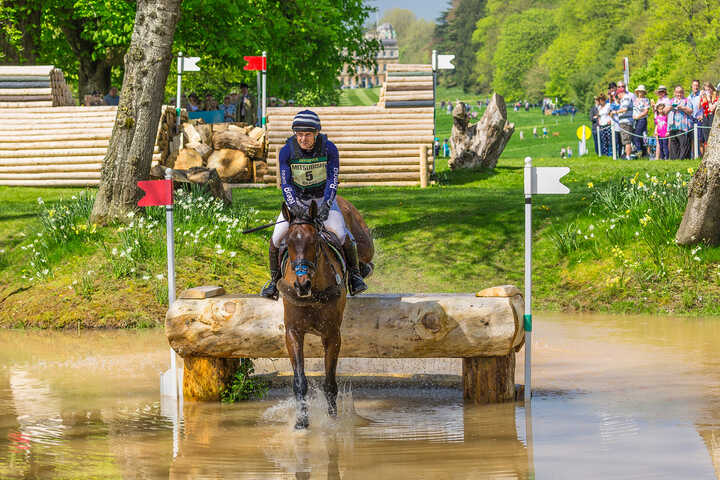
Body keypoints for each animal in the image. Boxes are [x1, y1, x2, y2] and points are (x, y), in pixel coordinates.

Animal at [276, 197, 374, 430]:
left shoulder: (332, 335)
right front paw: (301, 422)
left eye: (314, 242)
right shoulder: (293, 332)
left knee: (362, 253)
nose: (302, 285)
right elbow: (300, 380)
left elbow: (330, 383)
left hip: (363, 240)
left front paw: (332, 421)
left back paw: (361, 273)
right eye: (287, 244)